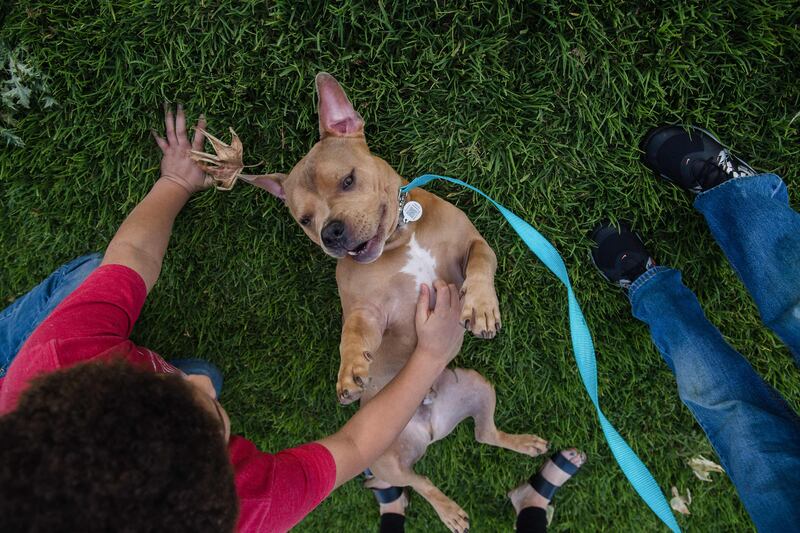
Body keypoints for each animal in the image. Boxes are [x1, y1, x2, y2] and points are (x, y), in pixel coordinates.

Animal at [252, 72, 552, 528]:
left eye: (348, 180)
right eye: (304, 220)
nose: (330, 232)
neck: (401, 236)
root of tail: (430, 425)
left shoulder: (474, 243)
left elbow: (481, 263)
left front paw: (482, 307)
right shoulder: (367, 310)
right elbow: (354, 332)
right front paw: (349, 371)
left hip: (479, 386)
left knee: (484, 434)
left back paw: (524, 444)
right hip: (386, 459)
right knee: (420, 482)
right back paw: (448, 511)